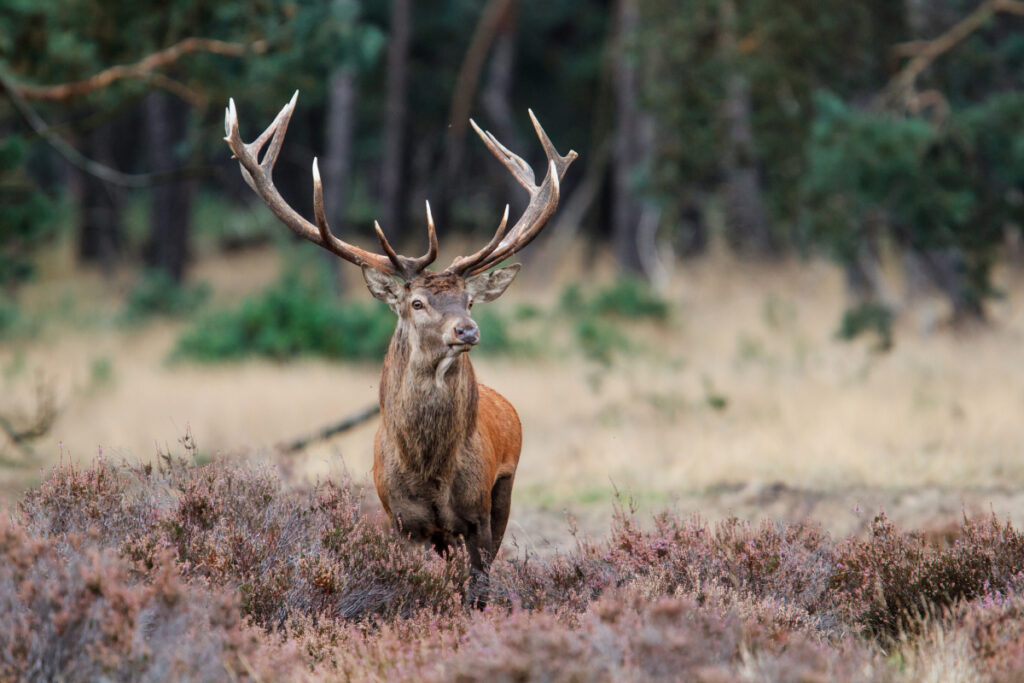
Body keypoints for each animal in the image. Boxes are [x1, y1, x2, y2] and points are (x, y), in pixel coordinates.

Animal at [223, 92, 576, 605]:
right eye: (417, 302)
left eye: (470, 300)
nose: (467, 330)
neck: (428, 470)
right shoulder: (401, 522)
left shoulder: (477, 515)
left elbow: (478, 590)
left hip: (504, 491)